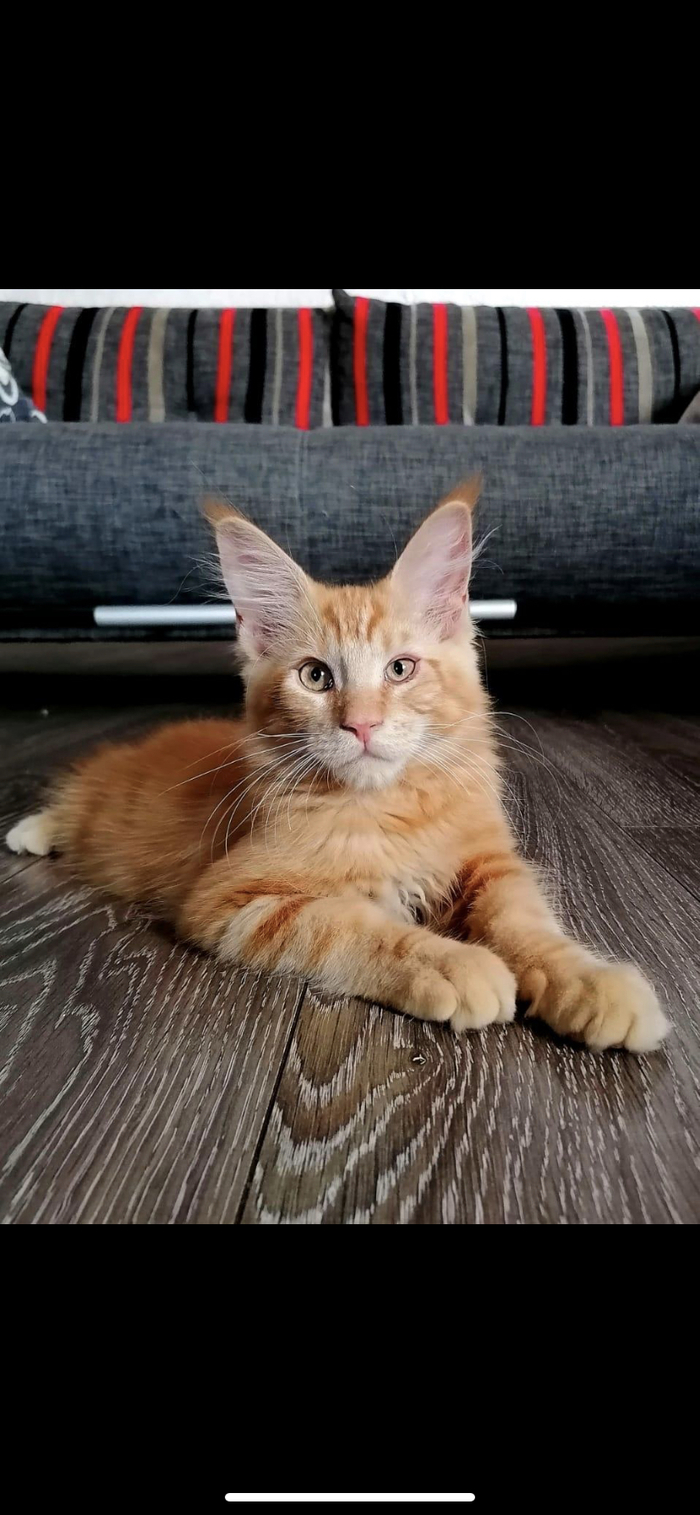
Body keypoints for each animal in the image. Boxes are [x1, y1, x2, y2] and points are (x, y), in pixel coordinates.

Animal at [6, 480, 669, 1053]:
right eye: (316, 676)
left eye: (400, 669)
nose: (362, 724)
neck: (391, 811)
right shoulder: (234, 899)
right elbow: (355, 928)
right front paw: (455, 964)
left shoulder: (491, 863)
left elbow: (526, 924)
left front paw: (588, 982)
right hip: (100, 802)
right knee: (70, 804)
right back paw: (30, 831)